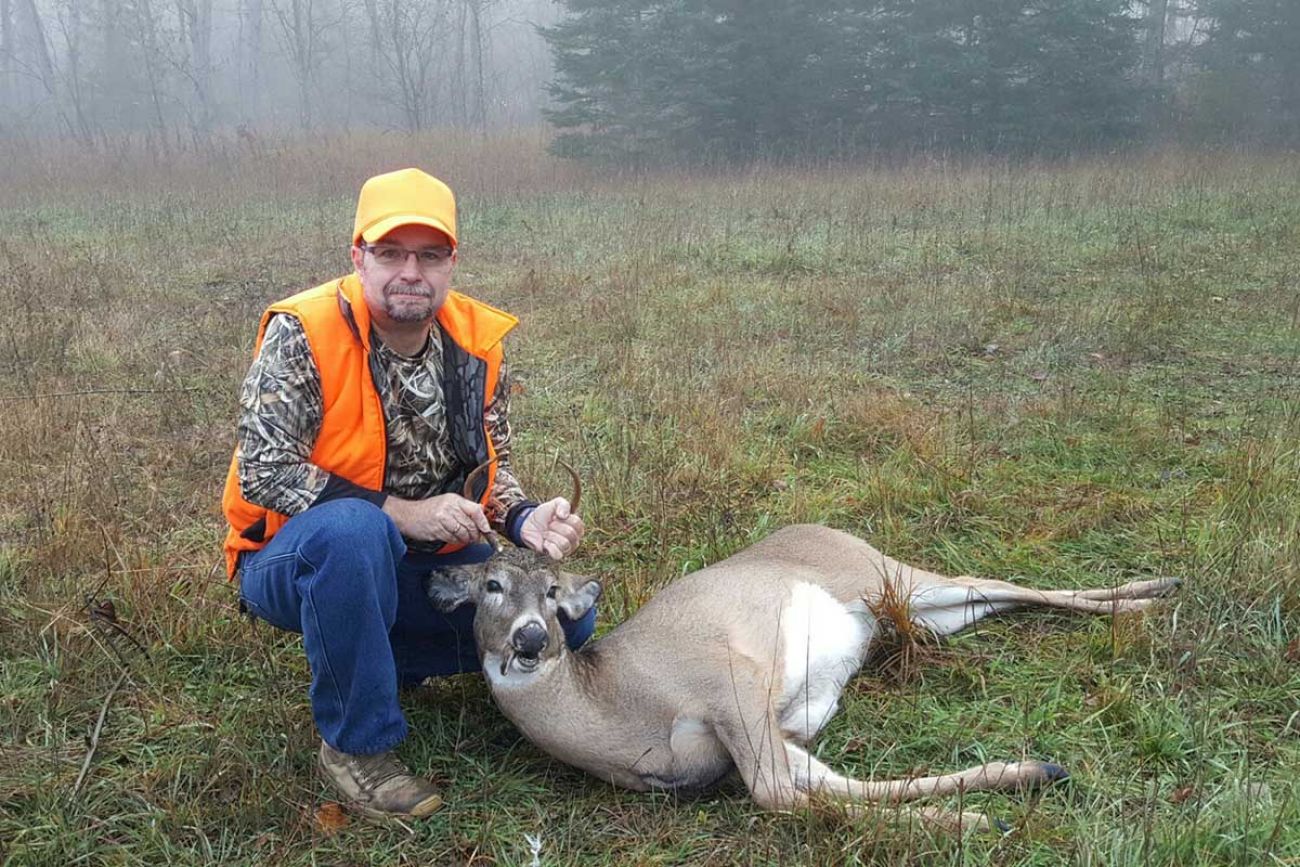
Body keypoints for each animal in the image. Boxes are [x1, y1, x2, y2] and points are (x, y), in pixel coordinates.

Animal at [426, 465, 1180, 831]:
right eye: (492, 585)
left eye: (555, 594)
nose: (530, 639)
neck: (619, 710)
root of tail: (822, 525)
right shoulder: (771, 736)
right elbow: (832, 788)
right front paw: (998, 798)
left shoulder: (732, 681)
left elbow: (779, 796)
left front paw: (971, 820)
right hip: (918, 613)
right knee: (991, 598)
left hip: (880, 573)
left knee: (1000, 580)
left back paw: (1152, 595)